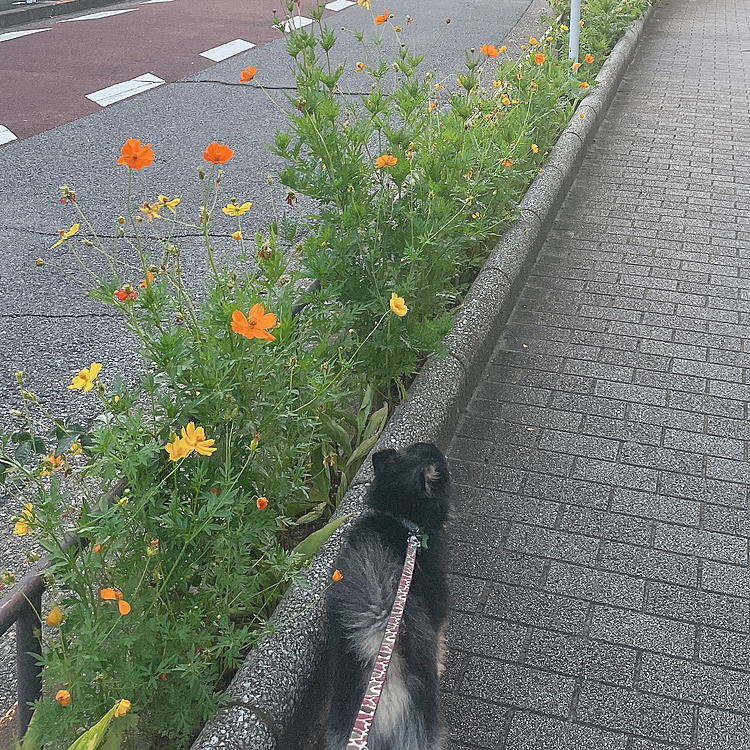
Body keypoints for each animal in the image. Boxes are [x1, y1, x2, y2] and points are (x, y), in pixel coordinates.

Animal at [324, 444, 452, 750]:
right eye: (440, 460)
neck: (404, 522)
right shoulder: (439, 608)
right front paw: (440, 665)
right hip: (419, 733)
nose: (446, 458)